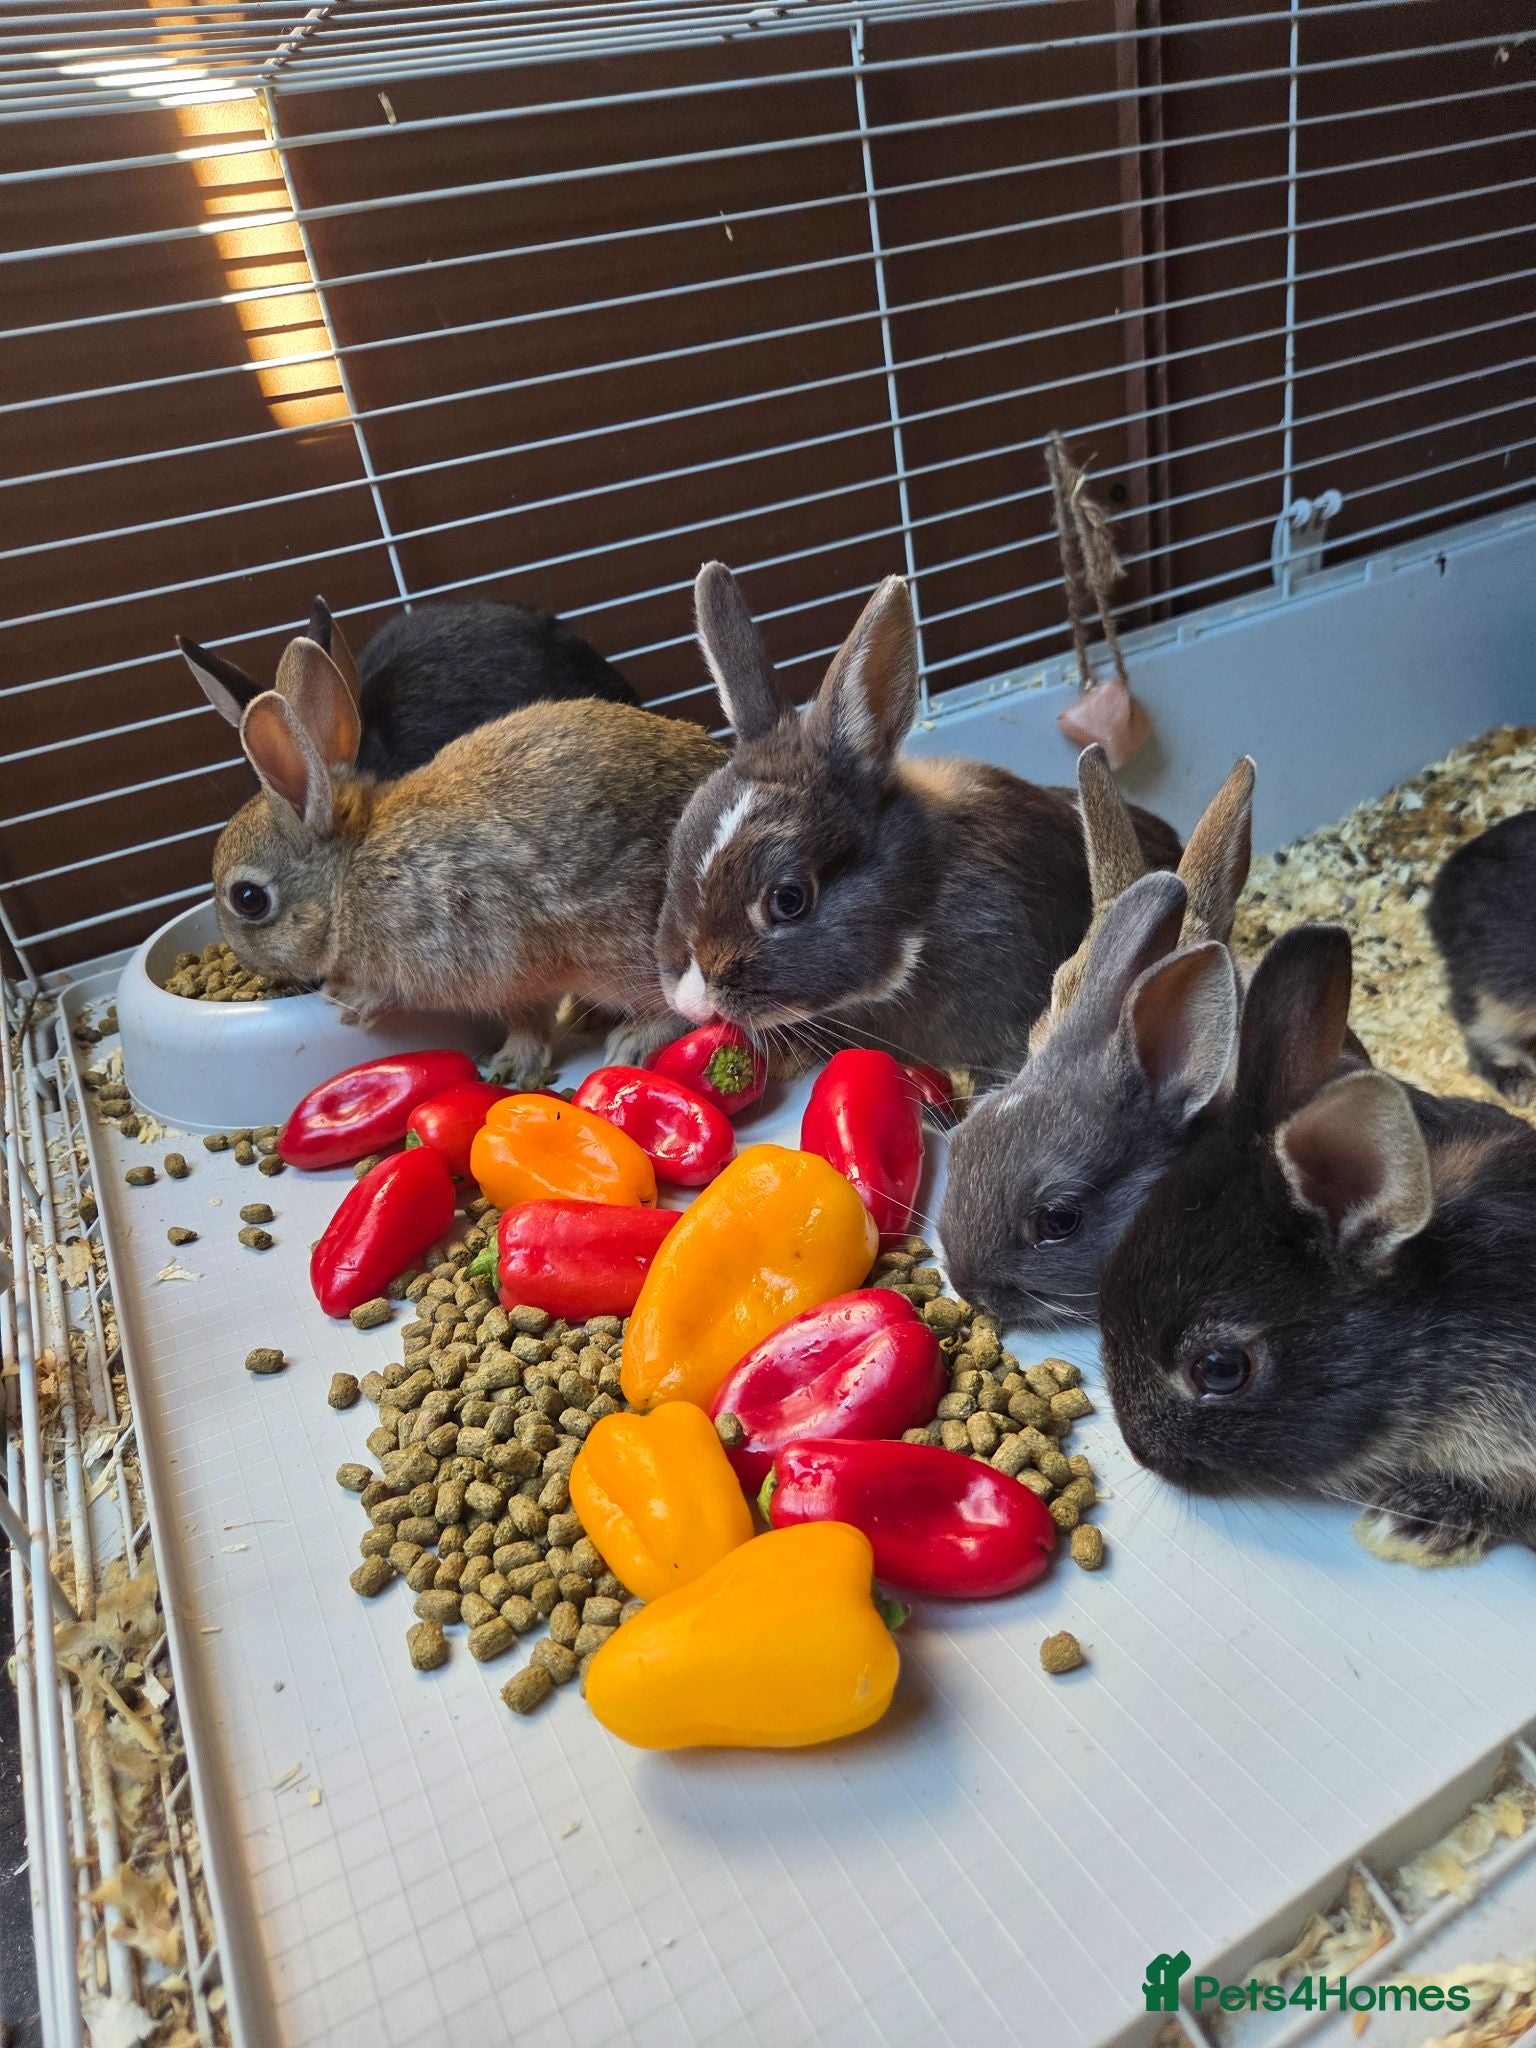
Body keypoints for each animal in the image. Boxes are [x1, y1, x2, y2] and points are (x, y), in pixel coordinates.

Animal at [211, 636, 725, 1077]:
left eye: (248, 899)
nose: (247, 964)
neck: (347, 875)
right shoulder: (516, 982)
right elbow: (526, 1019)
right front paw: (510, 1064)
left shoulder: (469, 943)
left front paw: (353, 1000)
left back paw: (633, 1041)